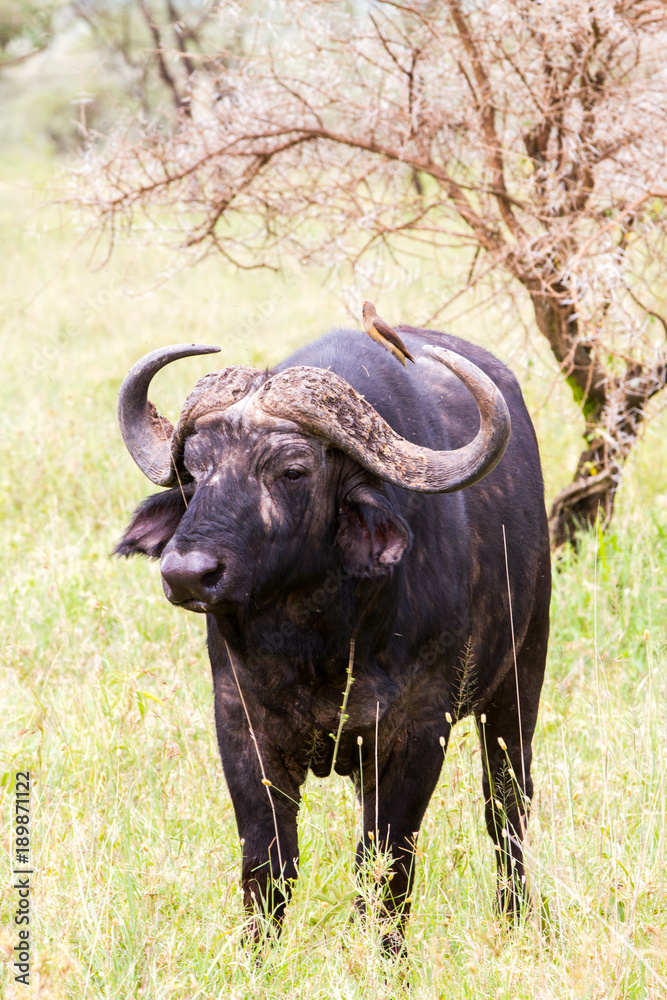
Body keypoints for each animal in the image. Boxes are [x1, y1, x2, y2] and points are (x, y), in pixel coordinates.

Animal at [115, 325, 550, 951]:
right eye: (194, 474)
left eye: (293, 471)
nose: (187, 574)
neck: (319, 639)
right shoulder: (241, 722)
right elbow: (269, 861)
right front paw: (256, 954)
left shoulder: (420, 727)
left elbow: (389, 861)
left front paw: (386, 955)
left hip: (521, 676)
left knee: (507, 806)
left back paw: (517, 916)